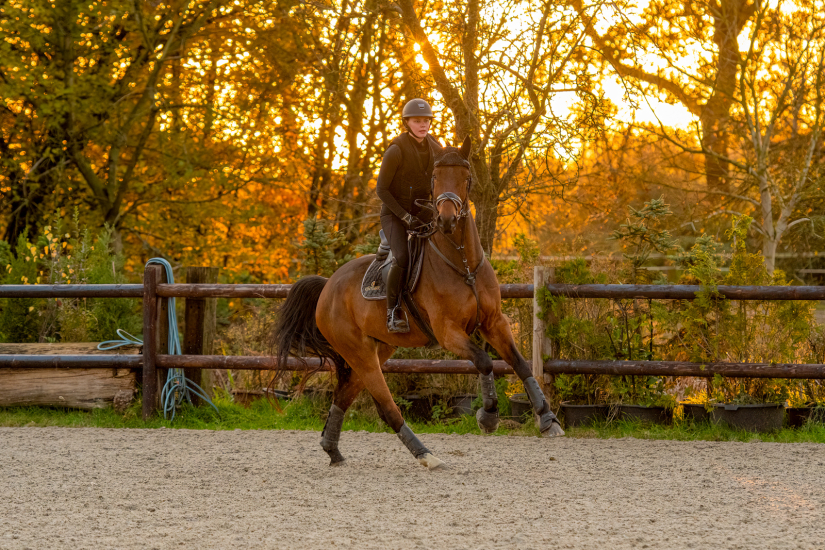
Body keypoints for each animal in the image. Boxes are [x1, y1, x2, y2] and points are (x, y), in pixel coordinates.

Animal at [274, 137, 564, 470]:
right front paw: (488, 417)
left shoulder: (494, 322)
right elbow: (484, 361)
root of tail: (328, 287)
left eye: (466, 177)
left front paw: (548, 419)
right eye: (435, 178)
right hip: (360, 353)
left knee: (343, 396)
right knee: (387, 408)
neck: (462, 261)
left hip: (377, 350)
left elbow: (519, 363)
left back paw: (332, 450)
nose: (447, 219)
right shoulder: (448, 332)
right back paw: (426, 454)